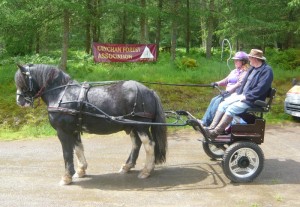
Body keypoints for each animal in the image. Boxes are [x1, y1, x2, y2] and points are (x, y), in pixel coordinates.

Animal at [14, 64, 166, 185]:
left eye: (22, 81)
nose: (19, 101)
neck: (61, 94)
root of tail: (149, 91)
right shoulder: (74, 130)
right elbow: (78, 149)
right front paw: (81, 170)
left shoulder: (63, 131)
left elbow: (67, 153)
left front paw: (66, 177)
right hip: (132, 126)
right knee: (136, 143)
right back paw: (127, 166)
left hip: (141, 126)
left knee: (149, 145)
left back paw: (146, 171)